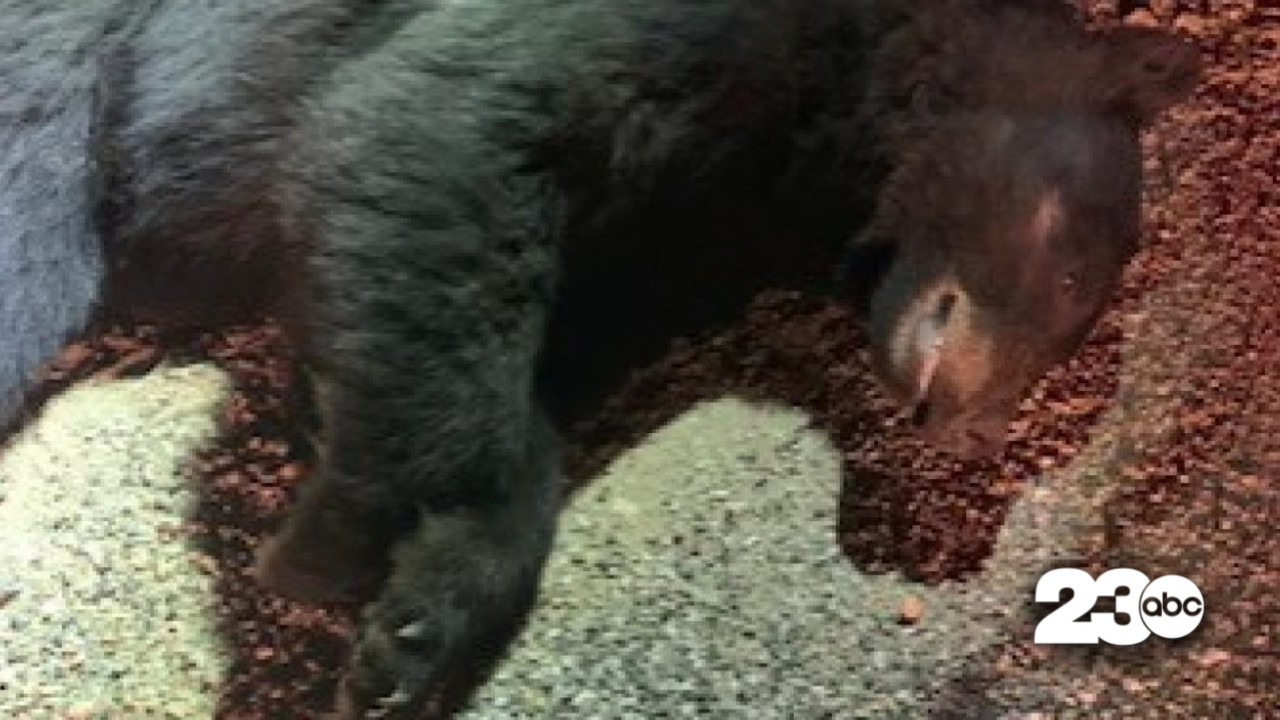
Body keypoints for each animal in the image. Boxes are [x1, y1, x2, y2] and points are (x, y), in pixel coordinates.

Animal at [0, 0, 1199, 717]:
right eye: (1068, 274)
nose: (967, 427)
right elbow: (425, 131)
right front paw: (334, 547)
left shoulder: (674, 231)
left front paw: (412, 629)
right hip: (54, 101)